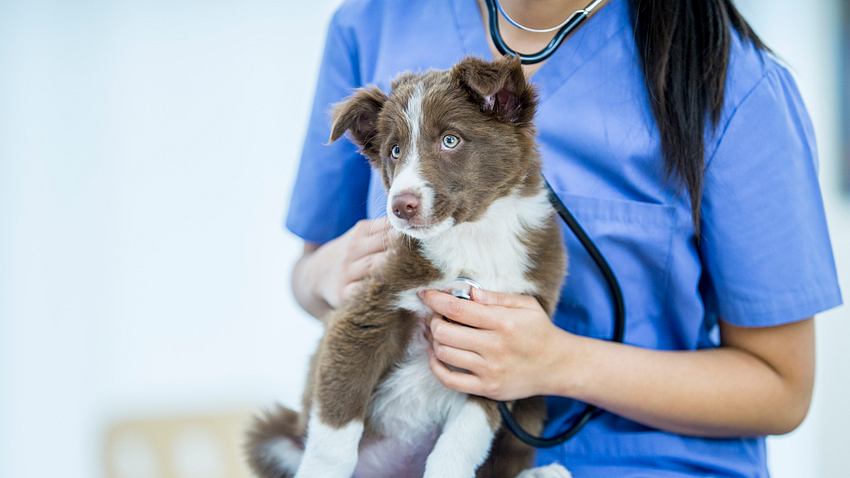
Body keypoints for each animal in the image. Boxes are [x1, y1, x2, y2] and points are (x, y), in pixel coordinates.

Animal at [245, 57, 568, 478]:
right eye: (394, 150)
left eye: (451, 140)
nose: (401, 206)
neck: (474, 236)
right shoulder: (366, 314)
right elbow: (335, 431)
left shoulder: (499, 350)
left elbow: (461, 441)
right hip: (271, 435)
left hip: (533, 401)